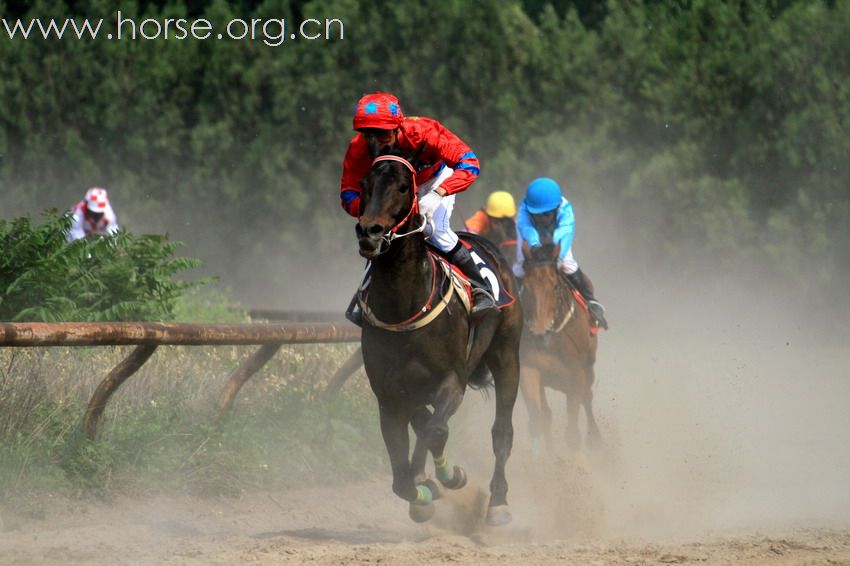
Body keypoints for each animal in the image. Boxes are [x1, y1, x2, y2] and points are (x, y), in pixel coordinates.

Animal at [352, 150, 524, 528]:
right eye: (364, 184)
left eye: (404, 187)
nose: (369, 231)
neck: (403, 304)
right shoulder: (389, 395)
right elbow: (401, 475)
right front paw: (422, 493)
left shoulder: (452, 380)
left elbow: (436, 432)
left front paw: (448, 478)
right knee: (425, 422)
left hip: (507, 355)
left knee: (501, 432)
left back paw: (498, 504)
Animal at [512, 243, 600, 452]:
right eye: (525, 286)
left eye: (555, 286)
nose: (539, 330)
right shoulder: (529, 368)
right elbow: (538, 421)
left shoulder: (576, 375)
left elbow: (573, 435)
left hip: (588, 371)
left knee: (587, 397)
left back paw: (596, 440)